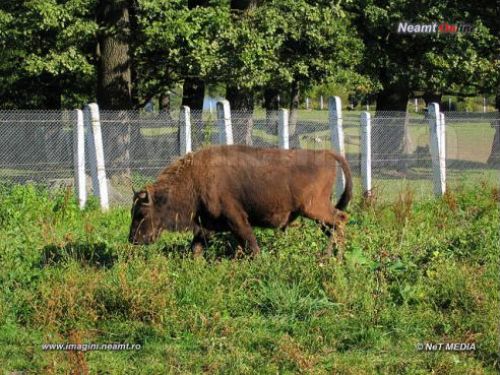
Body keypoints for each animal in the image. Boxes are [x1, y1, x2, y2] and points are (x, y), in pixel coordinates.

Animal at [131, 145, 354, 258]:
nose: (133, 239)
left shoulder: (236, 218)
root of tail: (326, 154)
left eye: (141, 213)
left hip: (314, 208)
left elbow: (250, 244)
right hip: (317, 212)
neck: (194, 178)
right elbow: (197, 247)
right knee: (333, 226)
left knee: (340, 219)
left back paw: (333, 258)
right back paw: (331, 256)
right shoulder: (207, 224)